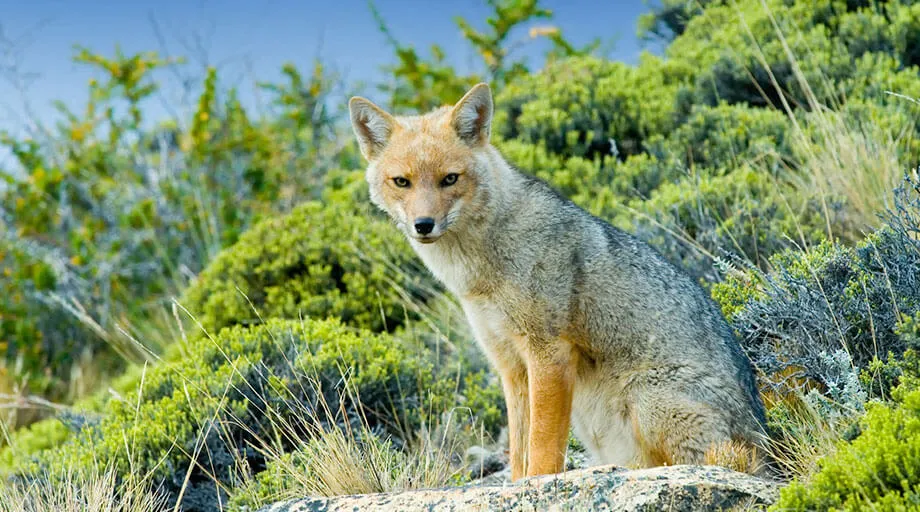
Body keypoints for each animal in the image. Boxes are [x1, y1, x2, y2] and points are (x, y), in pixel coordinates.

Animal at [348, 83, 769, 481]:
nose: (423, 225)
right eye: (401, 182)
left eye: (449, 179)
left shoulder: (548, 353)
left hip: (644, 398)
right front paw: (517, 485)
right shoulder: (510, 365)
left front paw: (537, 485)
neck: (482, 270)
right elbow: (519, 451)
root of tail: (765, 433)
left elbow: (542, 448)